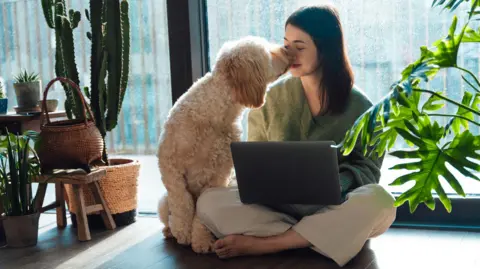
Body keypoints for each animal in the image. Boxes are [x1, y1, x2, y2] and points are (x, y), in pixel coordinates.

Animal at [158, 35, 292, 251]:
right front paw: (182, 230)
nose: (288, 49)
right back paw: (170, 230)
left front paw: (201, 239)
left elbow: (201, 210)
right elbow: (182, 201)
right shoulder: (170, 166)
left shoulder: (219, 174)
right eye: (268, 52)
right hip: (162, 202)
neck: (213, 114)